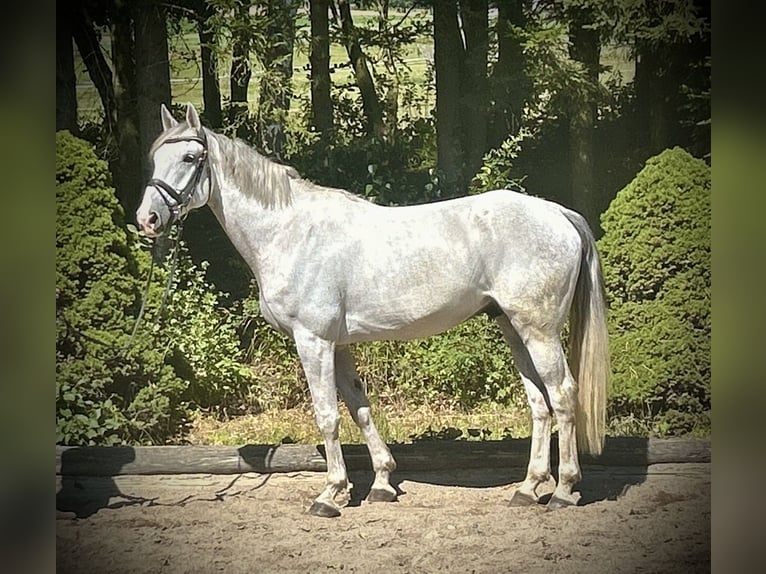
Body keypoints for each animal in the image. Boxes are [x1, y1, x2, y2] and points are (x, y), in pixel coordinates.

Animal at [136, 104, 612, 520]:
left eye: (190, 156)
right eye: (154, 157)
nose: (148, 219)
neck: (291, 232)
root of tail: (557, 212)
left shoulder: (313, 341)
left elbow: (327, 416)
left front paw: (330, 494)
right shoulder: (339, 345)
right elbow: (359, 407)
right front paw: (380, 483)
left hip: (539, 332)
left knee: (562, 395)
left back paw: (564, 491)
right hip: (514, 329)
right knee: (539, 403)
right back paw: (529, 488)